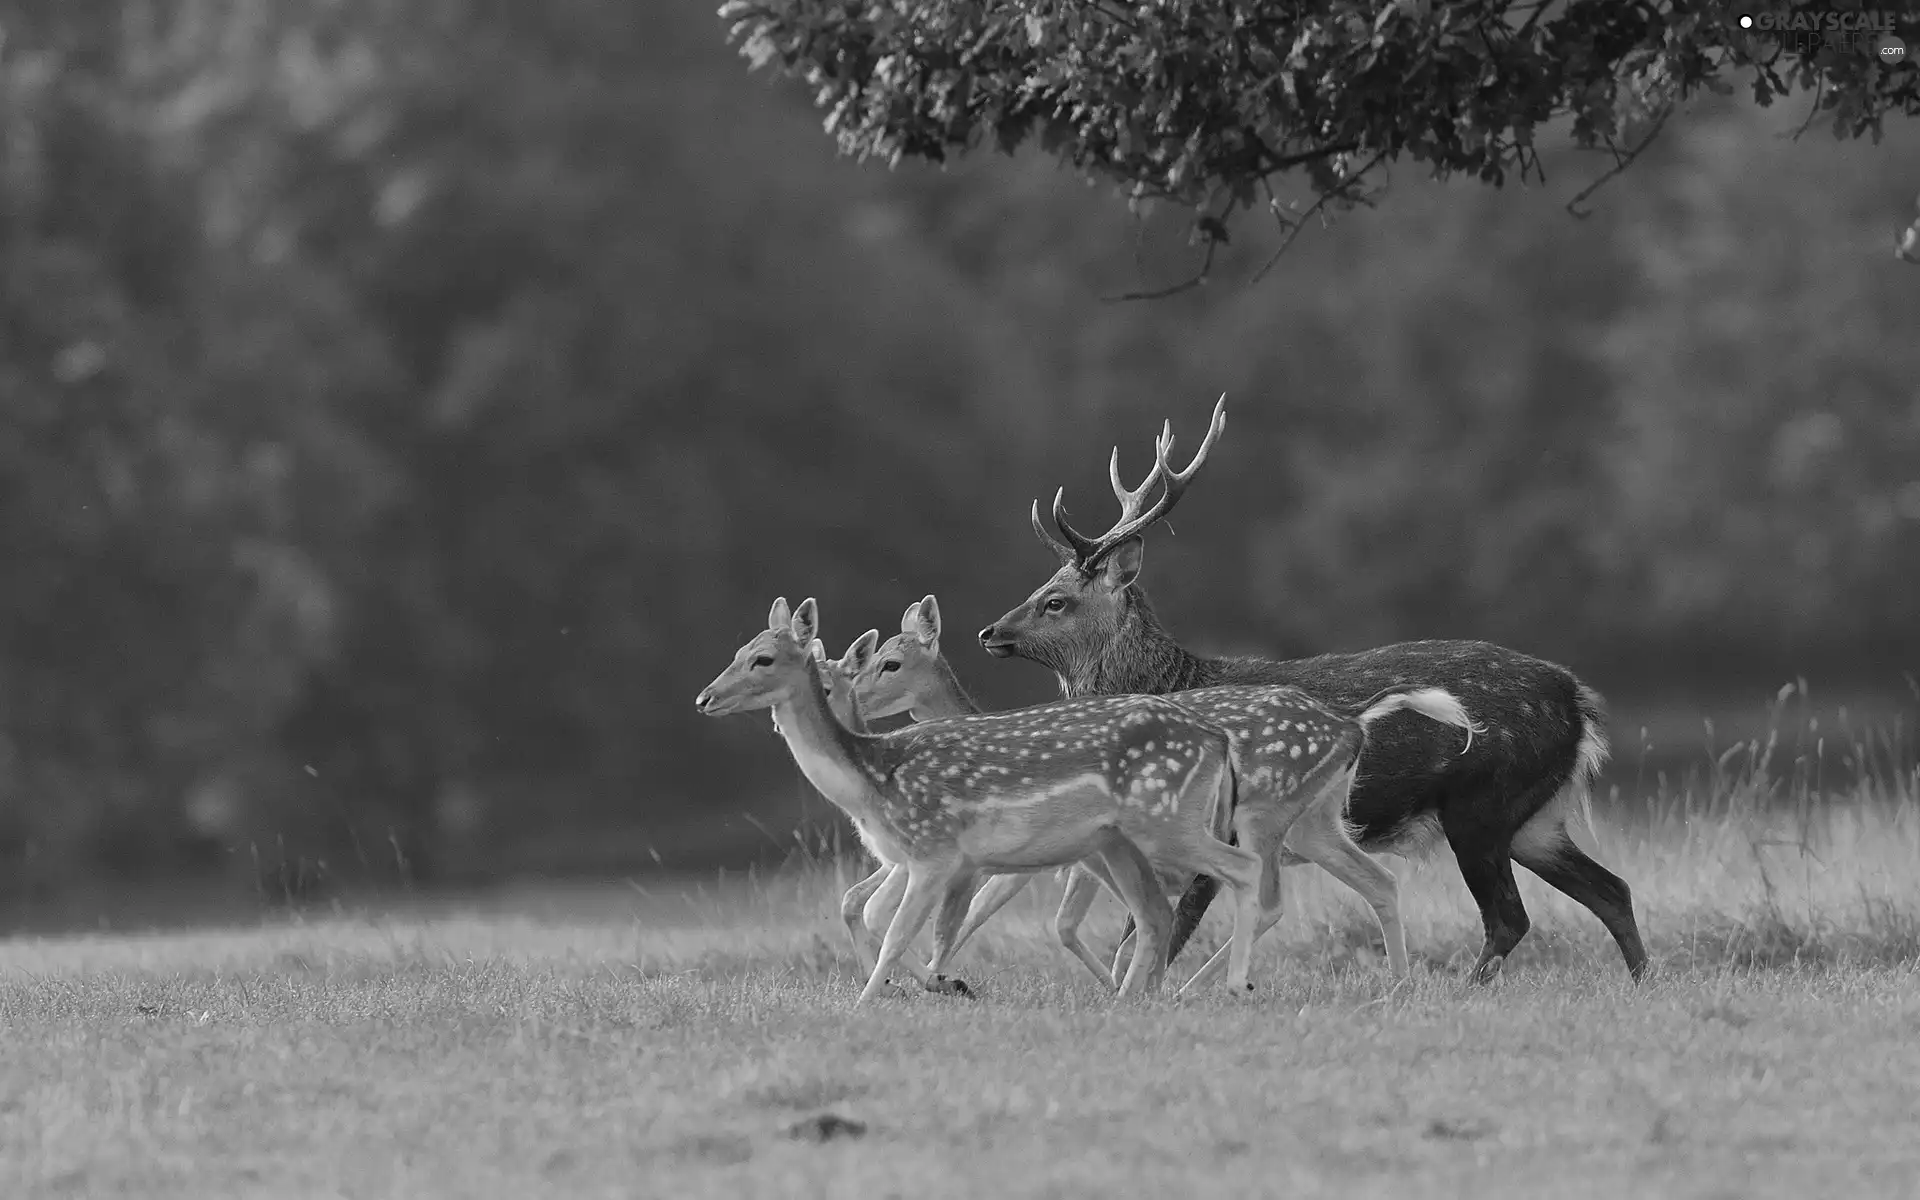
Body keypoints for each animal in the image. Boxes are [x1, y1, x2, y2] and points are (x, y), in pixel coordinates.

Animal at [698, 595, 1267, 998]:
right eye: (737, 652)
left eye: (763, 658)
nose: (704, 697)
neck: (872, 775)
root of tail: (1215, 738)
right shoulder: (931, 860)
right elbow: (889, 915)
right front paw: (933, 985)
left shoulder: (940, 854)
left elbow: (904, 928)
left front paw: (894, 995)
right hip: (1118, 844)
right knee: (1157, 911)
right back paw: (1141, 994)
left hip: (1167, 824)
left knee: (1237, 873)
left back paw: (1221, 984)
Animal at [852, 591, 1466, 983]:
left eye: (891, 662)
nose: (848, 692)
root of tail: (1352, 720)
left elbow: (1037, 919)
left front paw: (938, 982)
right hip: (1316, 824)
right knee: (1377, 882)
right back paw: (1396, 986)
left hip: (1262, 820)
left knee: (1269, 897)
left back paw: (1204, 987)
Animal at [983, 393, 1643, 983]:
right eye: (1040, 587)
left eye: (1055, 601)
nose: (990, 631)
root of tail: (1577, 701)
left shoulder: (1215, 830)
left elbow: (1161, 939)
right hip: (1535, 819)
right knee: (1612, 889)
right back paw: (1640, 982)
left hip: (1483, 804)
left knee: (1510, 917)